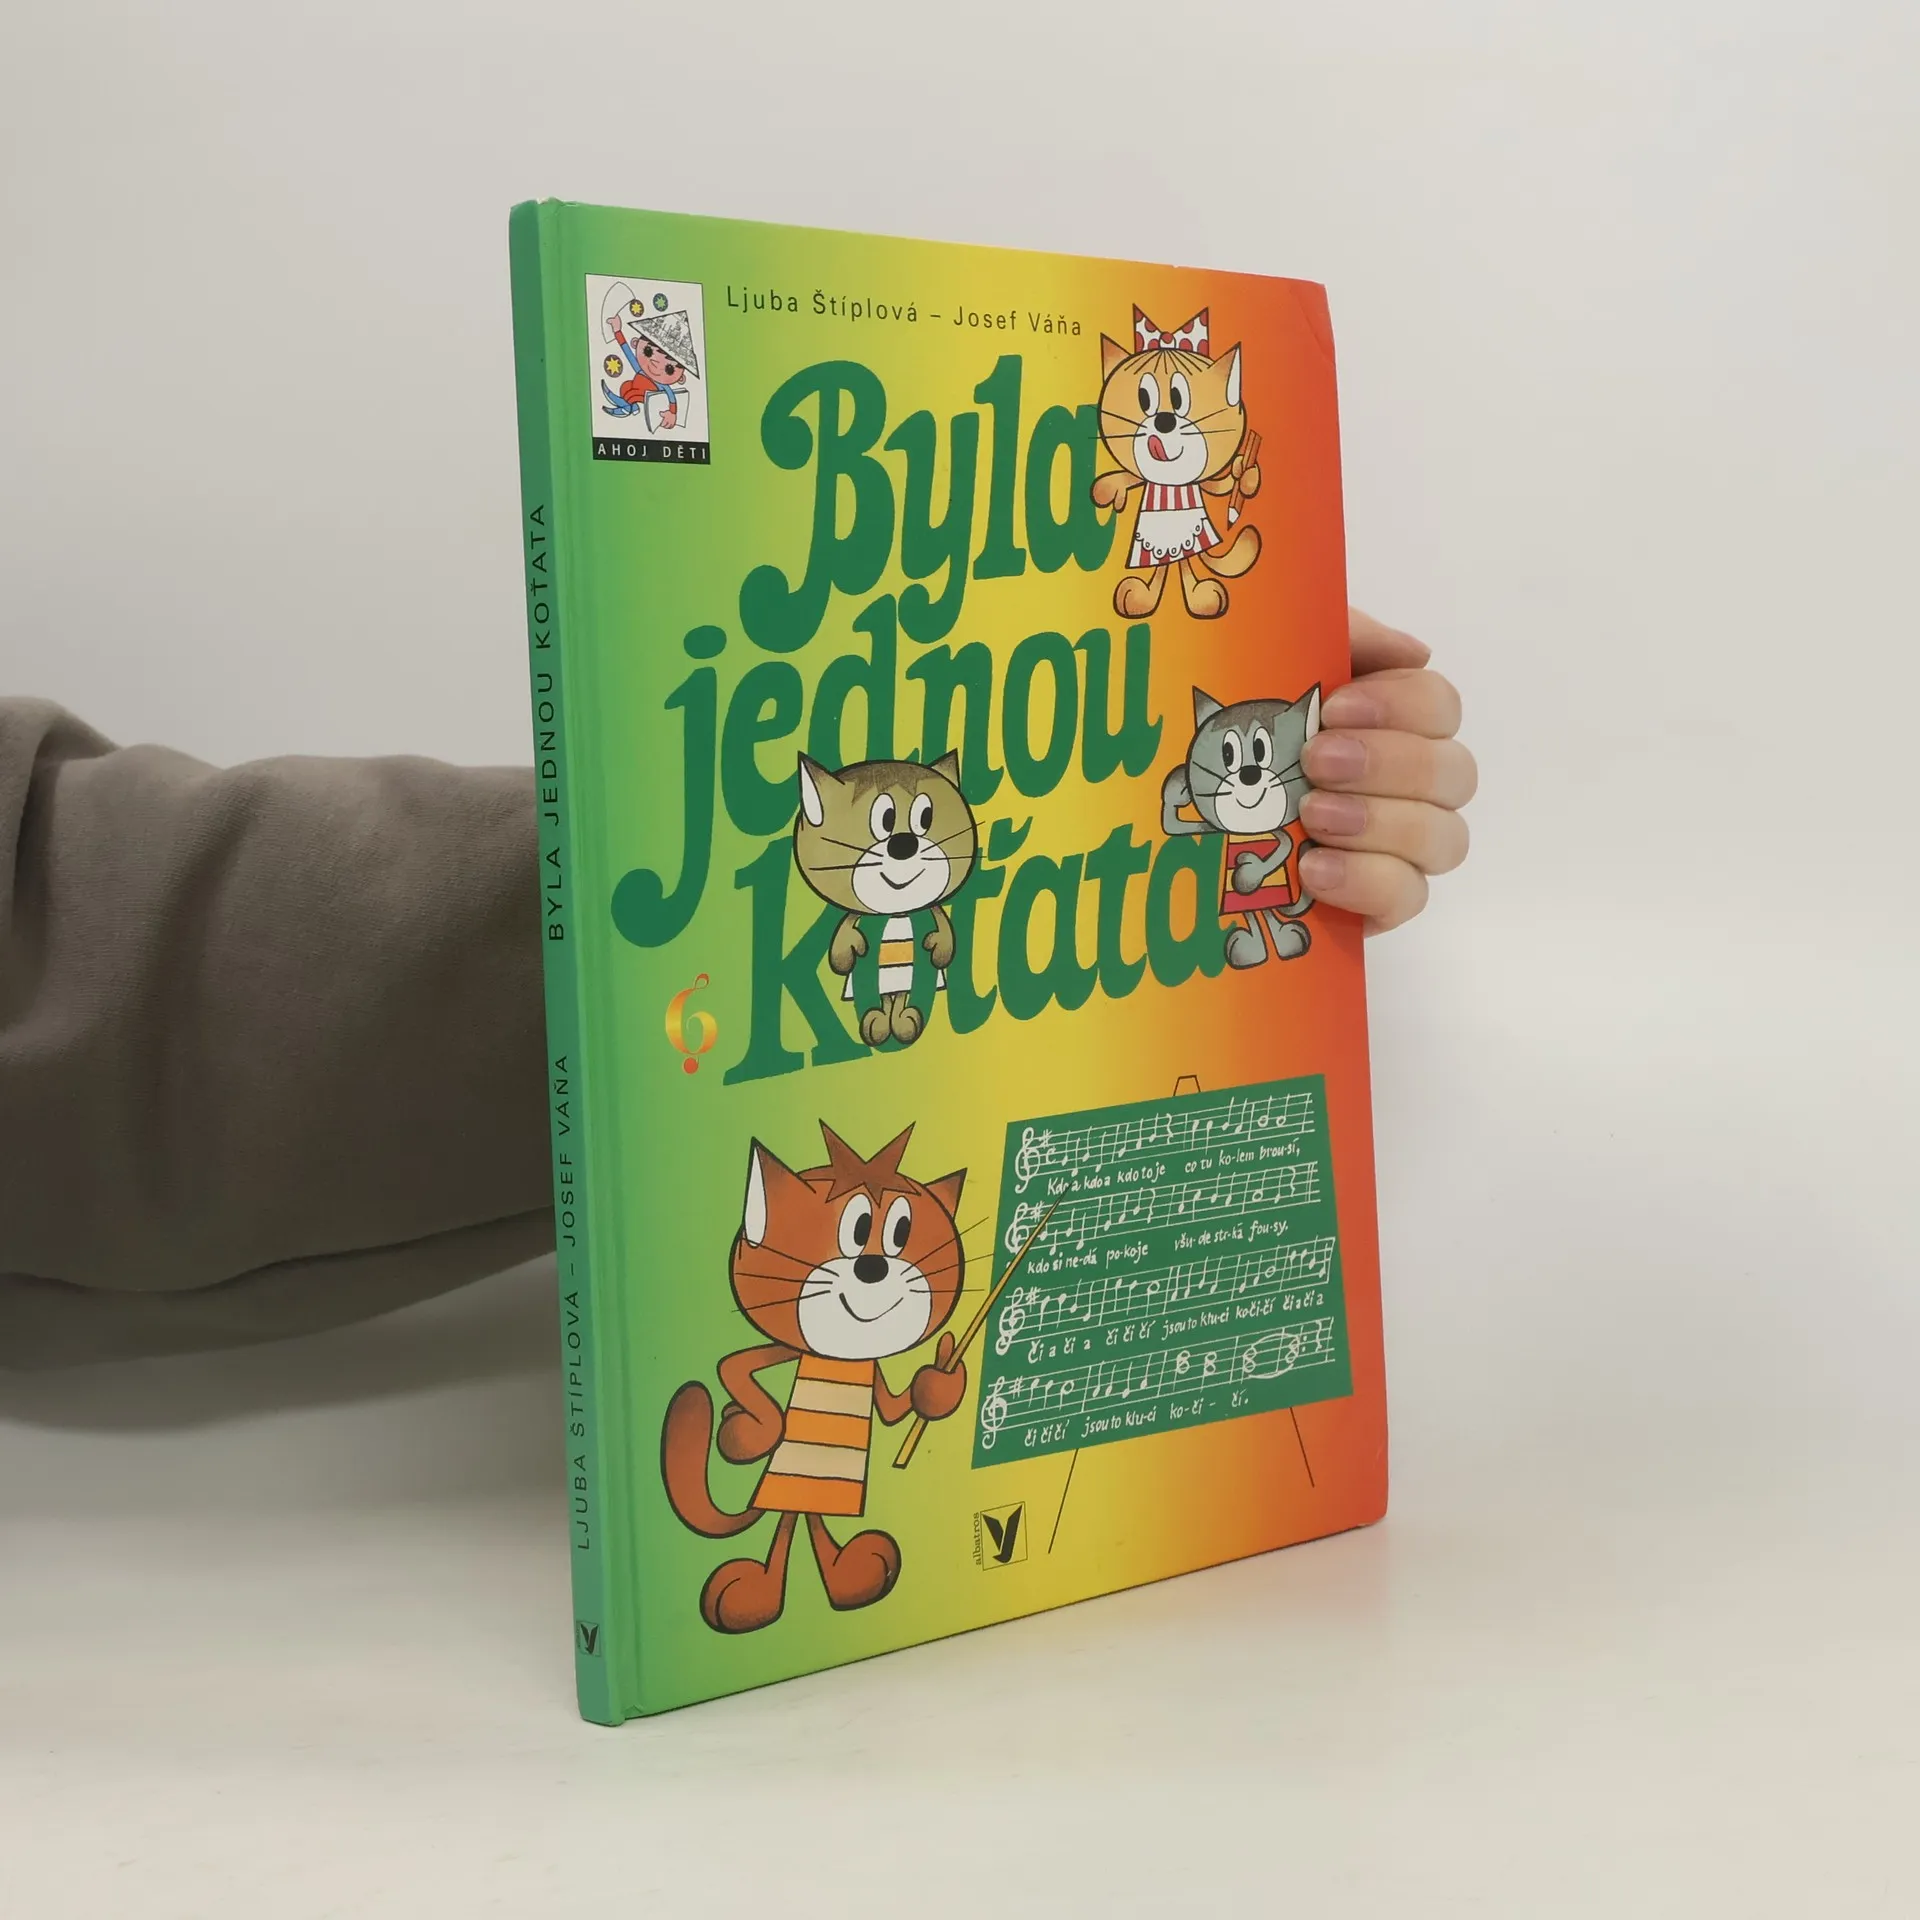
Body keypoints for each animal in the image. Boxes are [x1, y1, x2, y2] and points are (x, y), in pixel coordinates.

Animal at [660, 1124, 970, 1634]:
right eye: (856, 1229)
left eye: (902, 1231)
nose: (872, 1266)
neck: (842, 1357)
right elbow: (734, 1367)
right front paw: (750, 1431)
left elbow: (893, 1408)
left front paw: (941, 1384)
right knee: (790, 1519)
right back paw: (753, 1596)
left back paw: (855, 1578)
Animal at [792, 749, 978, 1049]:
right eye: (884, 819)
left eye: (925, 817)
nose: (903, 843)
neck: (898, 912)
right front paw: (849, 951)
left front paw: (938, 948)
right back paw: (880, 1022)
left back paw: (901, 1021)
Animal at [1091, 306, 1262, 621]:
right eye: (1144, 397)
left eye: (1179, 398)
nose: (1164, 420)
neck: (1170, 483)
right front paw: (1108, 490)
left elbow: (1220, 484)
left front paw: (1245, 474)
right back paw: (1141, 596)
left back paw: (1201, 596)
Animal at [1161, 684, 1321, 967]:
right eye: (1227, 753)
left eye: (1261, 749)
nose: (1249, 774)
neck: (1250, 829)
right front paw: (1177, 787)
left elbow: (1285, 845)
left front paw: (1248, 871)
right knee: (1253, 913)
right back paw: (1251, 949)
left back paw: (1286, 940)